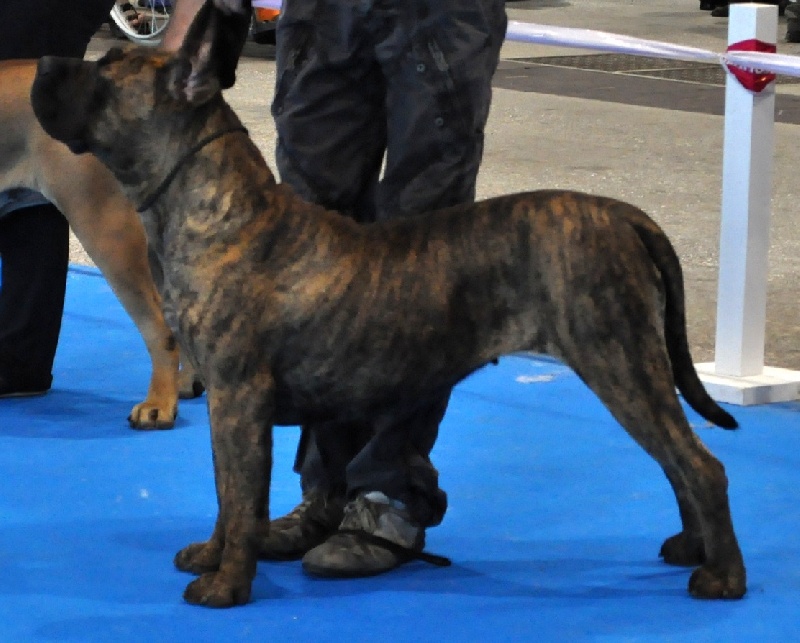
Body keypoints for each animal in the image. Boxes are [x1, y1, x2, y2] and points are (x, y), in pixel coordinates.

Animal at [28, 0, 748, 608]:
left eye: (106, 70)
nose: (40, 63)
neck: (214, 208)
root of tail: (624, 215)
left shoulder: (237, 399)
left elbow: (238, 494)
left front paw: (227, 584)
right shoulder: (230, 408)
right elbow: (228, 497)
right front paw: (212, 553)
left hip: (618, 359)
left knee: (700, 464)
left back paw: (723, 576)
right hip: (629, 363)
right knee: (677, 461)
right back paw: (692, 549)